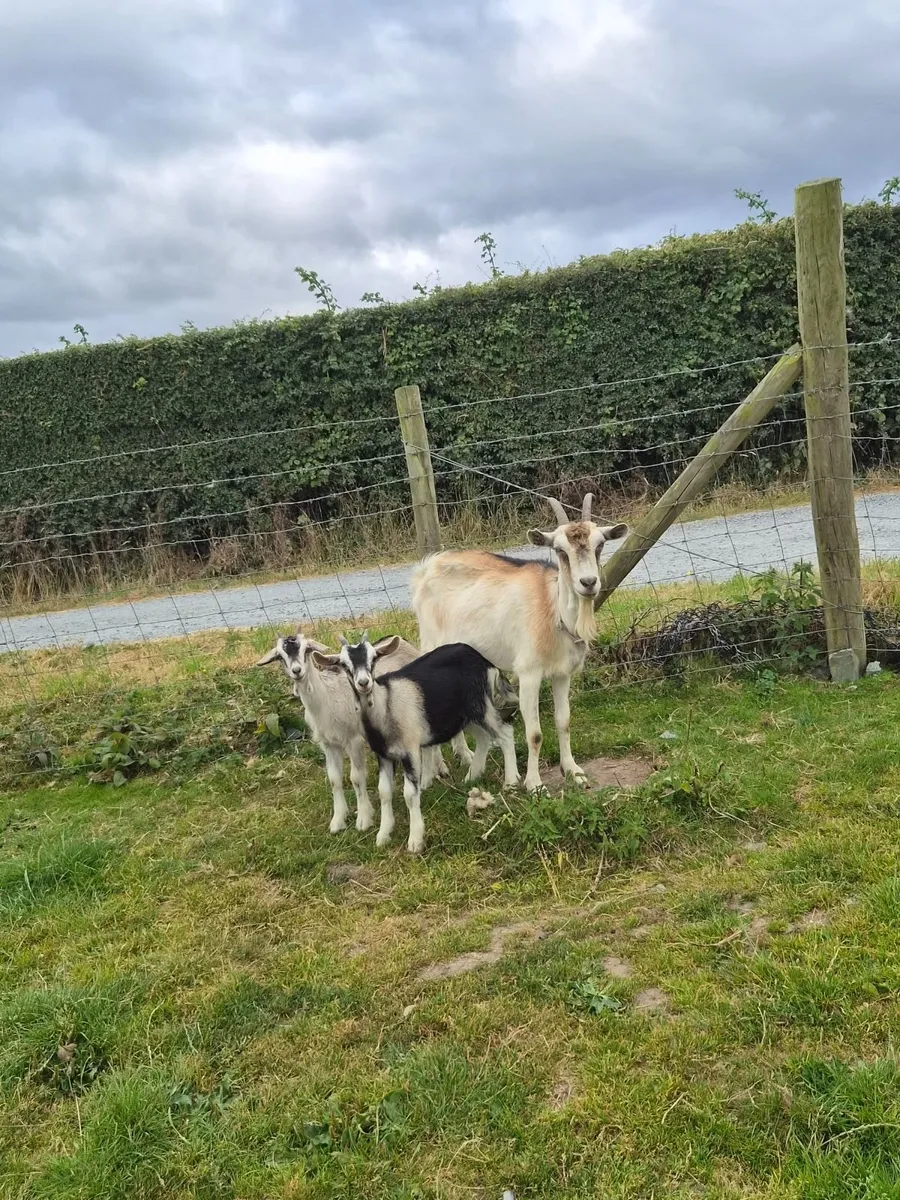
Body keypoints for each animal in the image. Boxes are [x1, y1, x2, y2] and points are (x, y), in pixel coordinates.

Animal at [254, 627, 420, 835]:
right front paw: (338, 820)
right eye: (279, 656)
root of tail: (402, 641)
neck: (327, 699)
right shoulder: (328, 743)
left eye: (306, 649)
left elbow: (356, 778)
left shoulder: (353, 740)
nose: (297, 671)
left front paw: (364, 818)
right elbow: (334, 778)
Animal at [312, 635, 520, 853]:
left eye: (374, 658)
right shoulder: (383, 755)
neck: (386, 707)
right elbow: (384, 791)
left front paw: (415, 839)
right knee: (483, 737)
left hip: (480, 706)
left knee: (505, 734)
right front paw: (384, 834)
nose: (363, 683)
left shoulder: (410, 752)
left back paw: (511, 781)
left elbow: (410, 794)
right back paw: (472, 776)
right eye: (344, 664)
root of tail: (483, 660)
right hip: (465, 716)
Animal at [411, 493, 627, 792]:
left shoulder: (562, 674)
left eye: (600, 544)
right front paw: (534, 784)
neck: (553, 611)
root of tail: (426, 568)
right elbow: (534, 733)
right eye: (560, 550)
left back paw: (464, 756)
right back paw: (445, 765)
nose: (588, 582)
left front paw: (573, 771)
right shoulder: (529, 674)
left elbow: (564, 722)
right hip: (431, 645)